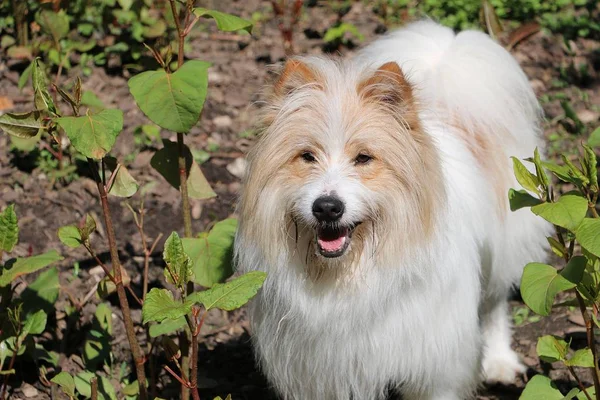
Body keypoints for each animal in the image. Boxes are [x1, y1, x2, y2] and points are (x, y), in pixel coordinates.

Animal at [234, 20, 552, 398]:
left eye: (364, 158)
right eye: (307, 156)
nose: (327, 208)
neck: (349, 274)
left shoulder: (435, 367)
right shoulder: (321, 372)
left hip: (502, 249)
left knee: (495, 303)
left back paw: (500, 361)